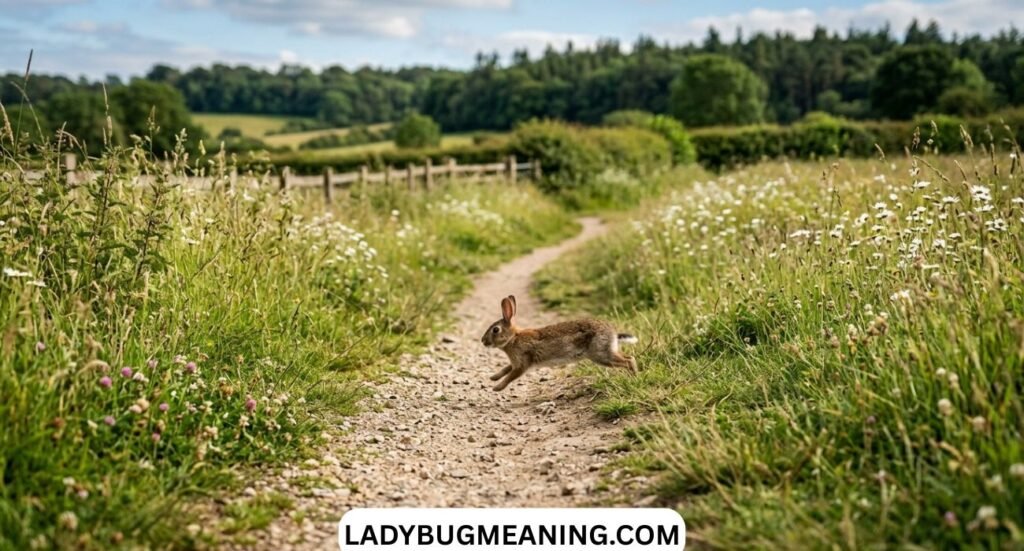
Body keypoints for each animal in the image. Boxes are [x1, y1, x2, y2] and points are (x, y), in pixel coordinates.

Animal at [480, 295, 638, 391]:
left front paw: (497, 387)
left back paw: (634, 377)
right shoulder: (516, 362)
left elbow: (511, 376)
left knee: (628, 361)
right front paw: (493, 377)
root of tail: (613, 332)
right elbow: (506, 369)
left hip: (600, 354)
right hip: (607, 351)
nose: (483, 341)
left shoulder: (522, 364)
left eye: (495, 330)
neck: (513, 338)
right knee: (629, 357)